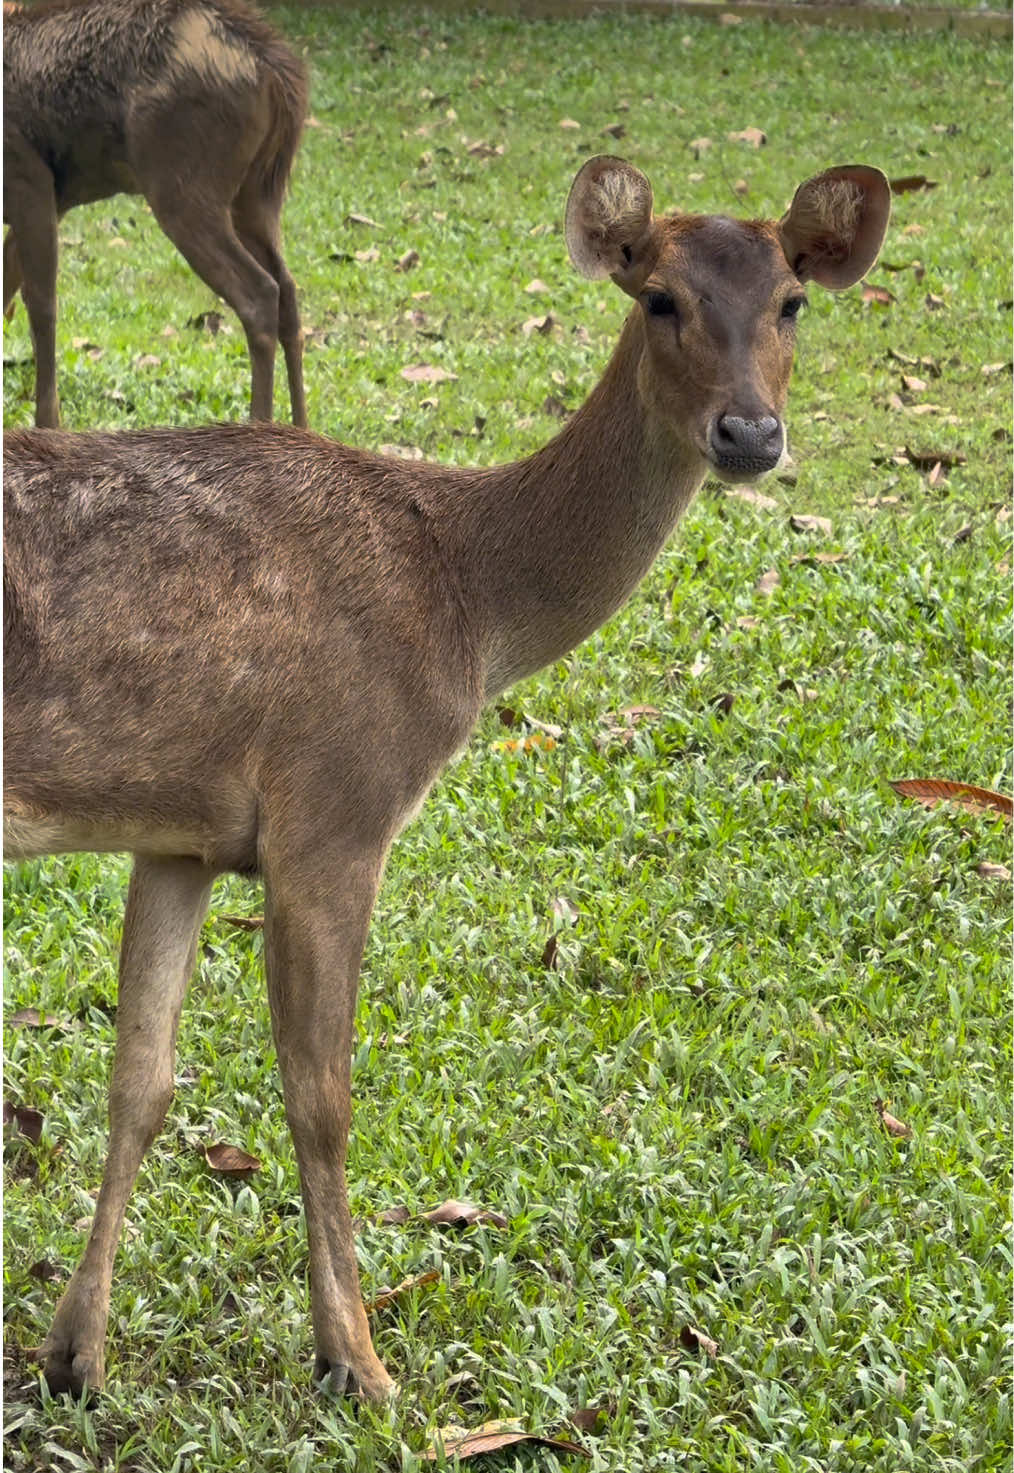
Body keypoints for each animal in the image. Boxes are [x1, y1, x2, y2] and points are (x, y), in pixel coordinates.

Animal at [1, 0, 306, 427]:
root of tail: (277, 75)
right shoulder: (49, 201)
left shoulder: (31, 181)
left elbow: (41, 306)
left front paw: (47, 425)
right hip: (256, 193)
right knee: (289, 291)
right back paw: (303, 429)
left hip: (182, 186)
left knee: (260, 292)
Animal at [3, 155, 884, 1396]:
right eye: (658, 297)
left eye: (794, 302)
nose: (751, 433)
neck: (465, 598)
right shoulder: (337, 802)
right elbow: (320, 1096)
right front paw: (358, 1362)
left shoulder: (178, 830)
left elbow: (142, 1079)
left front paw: (74, 1352)